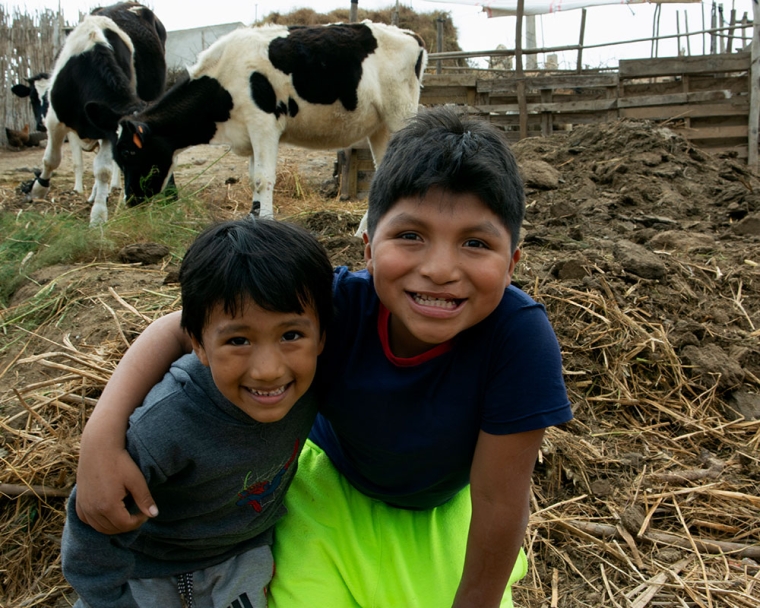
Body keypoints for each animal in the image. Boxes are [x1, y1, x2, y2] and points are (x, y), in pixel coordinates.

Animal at [30, 1, 167, 224]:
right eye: (33, 99)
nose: (141, 195)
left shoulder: (107, 128)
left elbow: (103, 170)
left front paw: (99, 214)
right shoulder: (54, 121)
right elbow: (51, 159)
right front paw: (38, 189)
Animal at [85, 20, 428, 230]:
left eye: (129, 153)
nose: (131, 200)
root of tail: (410, 35)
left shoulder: (263, 124)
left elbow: (264, 178)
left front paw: (266, 218)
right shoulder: (248, 135)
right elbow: (252, 179)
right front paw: (254, 219)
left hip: (400, 115)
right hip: (380, 126)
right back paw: (363, 232)